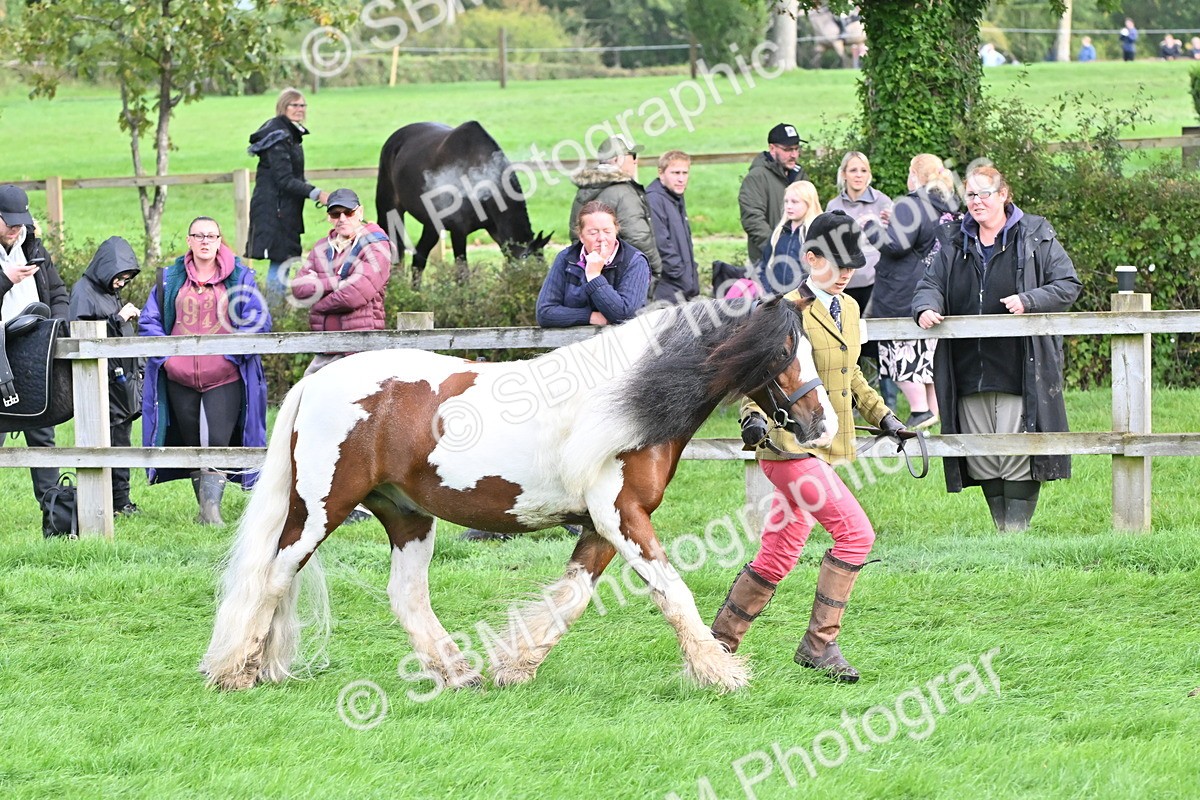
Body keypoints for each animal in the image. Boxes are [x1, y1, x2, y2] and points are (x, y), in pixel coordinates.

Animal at [200, 296, 837, 694]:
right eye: (785, 351)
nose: (820, 426)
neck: (626, 402)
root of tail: (314, 383)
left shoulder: (601, 524)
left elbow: (573, 596)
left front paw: (516, 666)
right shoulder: (621, 515)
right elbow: (672, 592)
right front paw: (720, 673)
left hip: (407, 516)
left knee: (406, 595)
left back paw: (458, 674)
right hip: (320, 510)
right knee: (273, 577)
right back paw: (237, 670)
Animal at [375, 121, 552, 289]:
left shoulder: (495, 230)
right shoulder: (458, 232)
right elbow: (462, 276)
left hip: (432, 225)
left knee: (419, 258)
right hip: (390, 210)